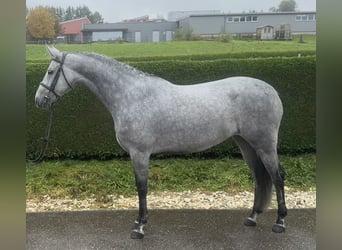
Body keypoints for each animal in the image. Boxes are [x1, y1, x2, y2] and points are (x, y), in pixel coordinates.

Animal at [34, 46, 288, 239]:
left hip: (264, 145)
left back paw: (280, 223)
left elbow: (142, 187)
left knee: (276, 177)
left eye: (50, 71)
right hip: (246, 144)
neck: (130, 96)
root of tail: (273, 92)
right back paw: (252, 217)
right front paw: (139, 221)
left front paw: (139, 226)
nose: (39, 100)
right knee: (260, 177)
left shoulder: (139, 153)